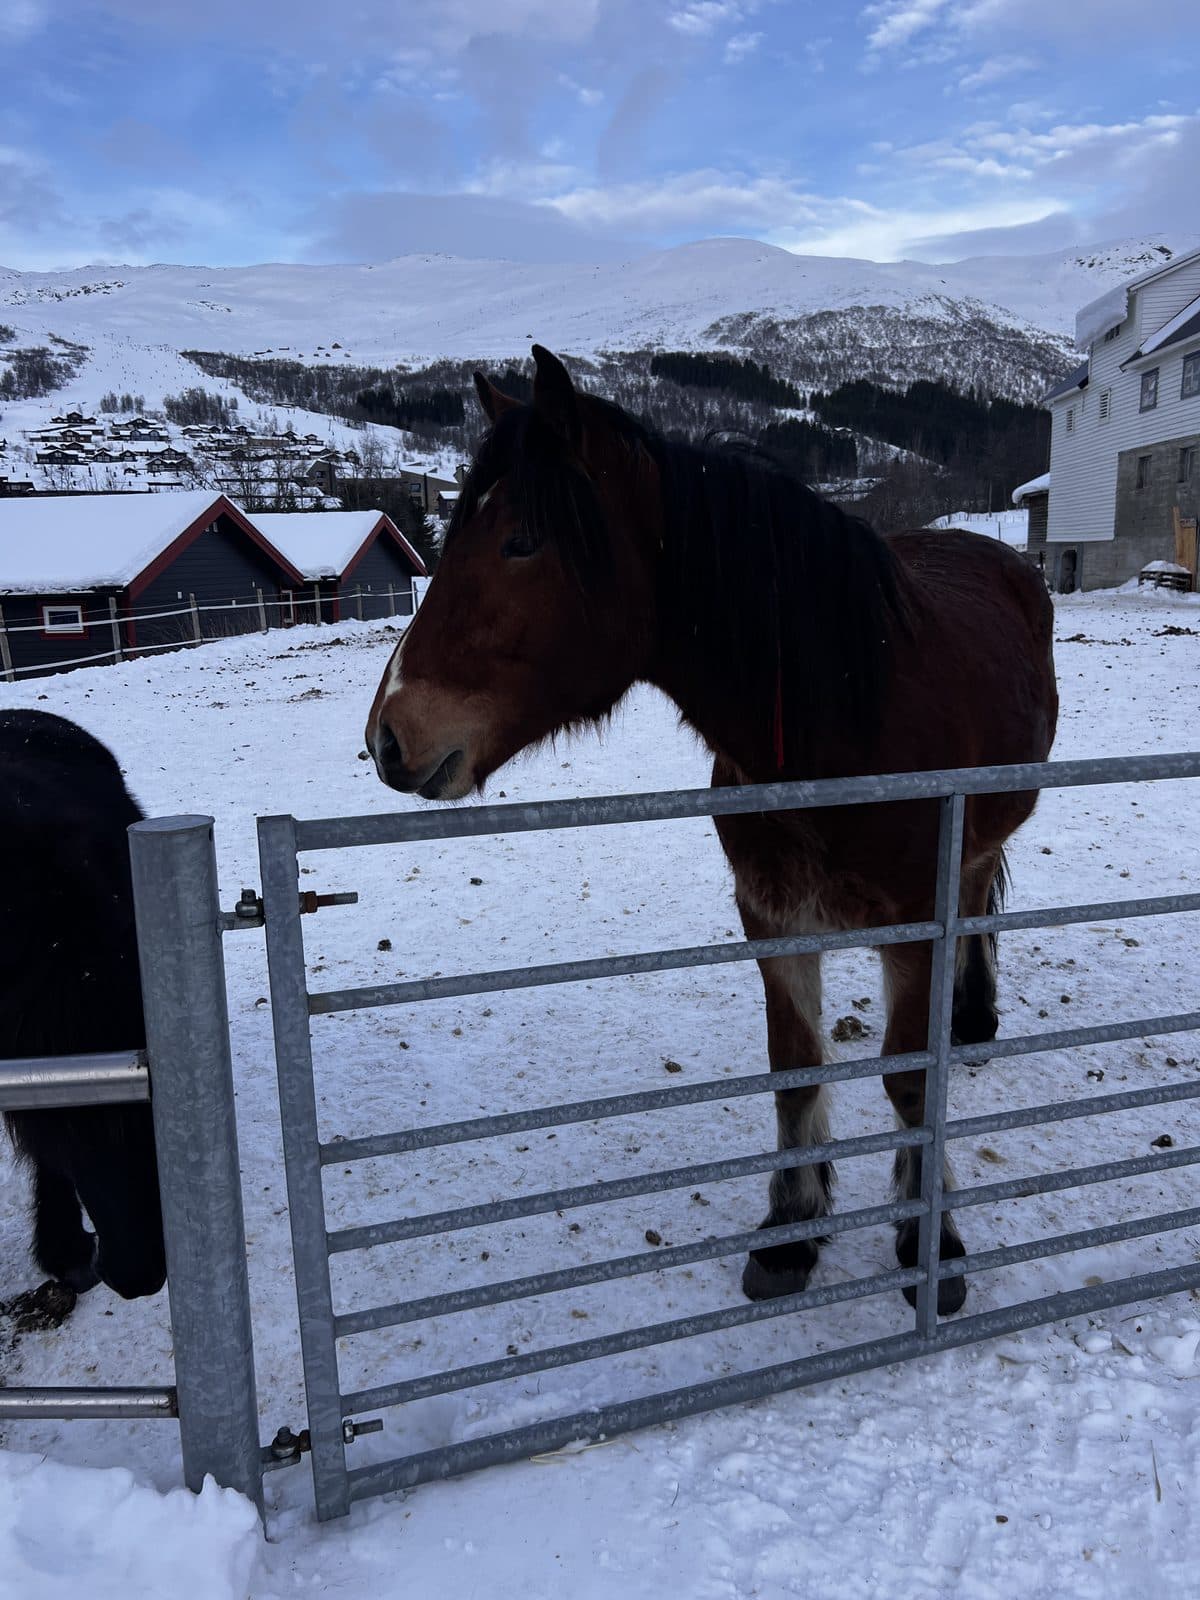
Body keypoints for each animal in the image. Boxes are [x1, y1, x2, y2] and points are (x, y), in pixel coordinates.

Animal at [365, 345, 1058, 1315]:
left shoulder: (915, 922)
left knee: (982, 902)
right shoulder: (770, 914)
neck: (849, 723)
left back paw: (976, 1019)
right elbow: (794, 1065)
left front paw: (932, 1242)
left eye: (522, 541)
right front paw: (792, 1231)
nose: (390, 737)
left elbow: (910, 1080)